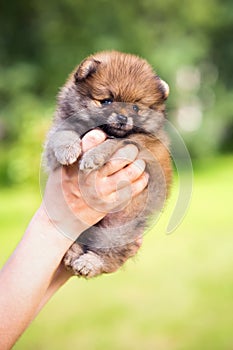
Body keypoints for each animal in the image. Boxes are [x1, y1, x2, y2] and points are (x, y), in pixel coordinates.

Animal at [43, 50, 172, 278]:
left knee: (111, 255)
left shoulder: (143, 143)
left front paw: (93, 156)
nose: (122, 117)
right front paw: (68, 149)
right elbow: (63, 133)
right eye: (106, 101)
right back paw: (72, 253)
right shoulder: (57, 131)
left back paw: (90, 262)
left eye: (136, 107)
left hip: (119, 229)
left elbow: (114, 142)